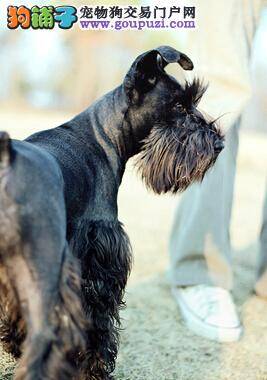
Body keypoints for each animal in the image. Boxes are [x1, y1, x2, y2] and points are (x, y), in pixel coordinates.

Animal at [0, 46, 225, 378]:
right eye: (179, 105)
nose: (219, 144)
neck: (101, 136)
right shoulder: (100, 257)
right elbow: (99, 318)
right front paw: (95, 366)